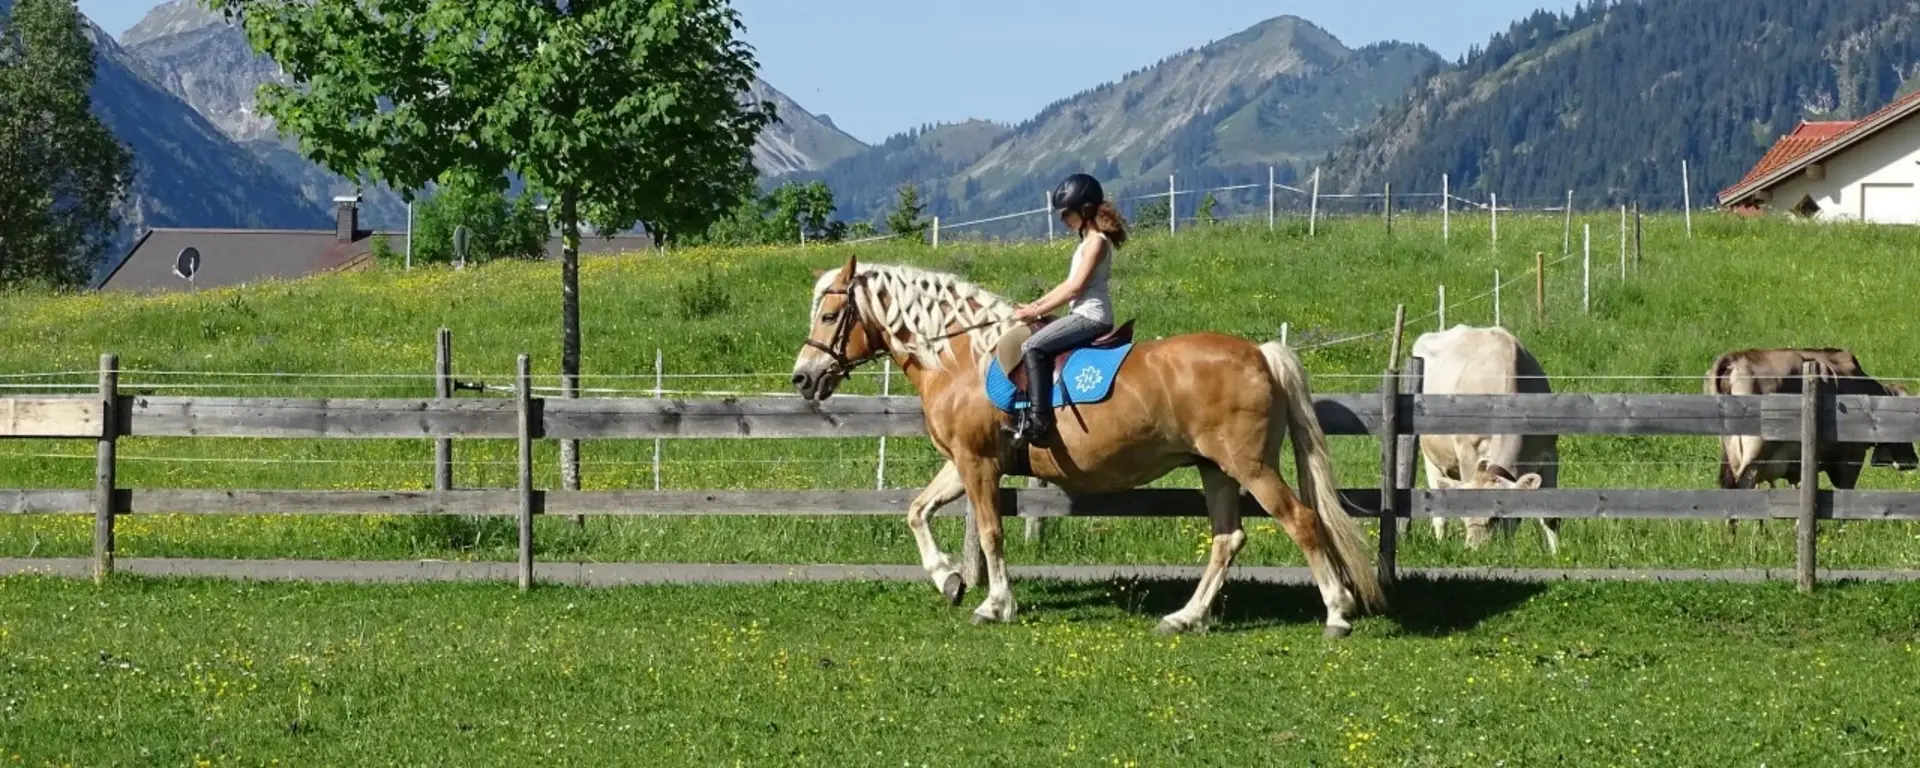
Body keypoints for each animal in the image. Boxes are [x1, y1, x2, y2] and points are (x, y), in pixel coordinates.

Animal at [787, 255, 1390, 633]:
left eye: (830, 314)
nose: (803, 378)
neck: (964, 360)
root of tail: (1261, 352)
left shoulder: (978, 464)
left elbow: (990, 532)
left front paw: (995, 605)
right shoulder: (962, 463)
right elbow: (916, 511)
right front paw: (948, 579)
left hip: (1250, 466)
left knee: (1302, 521)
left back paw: (1337, 614)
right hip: (1214, 467)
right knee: (1228, 538)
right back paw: (1186, 618)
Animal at [1413, 322, 1559, 552]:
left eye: (1495, 518)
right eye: (1464, 516)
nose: (1476, 552)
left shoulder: (1550, 454)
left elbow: (1550, 516)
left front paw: (1556, 554)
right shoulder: (1467, 454)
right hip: (1430, 455)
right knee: (1439, 513)